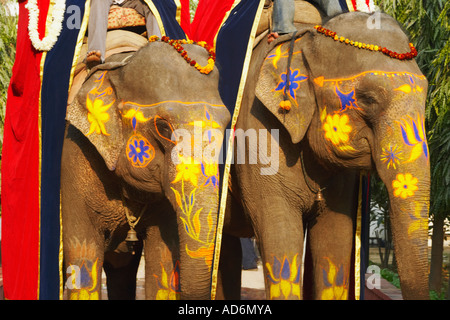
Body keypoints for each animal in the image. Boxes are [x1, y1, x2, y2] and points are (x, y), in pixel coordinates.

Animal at [61, 37, 230, 300]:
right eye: (163, 127)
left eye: (226, 124)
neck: (121, 64)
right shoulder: (75, 155)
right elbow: (83, 256)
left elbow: (162, 259)